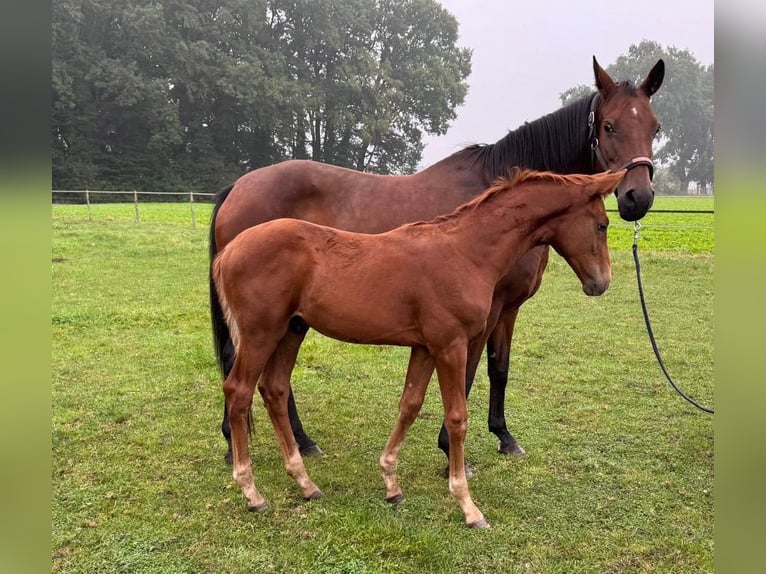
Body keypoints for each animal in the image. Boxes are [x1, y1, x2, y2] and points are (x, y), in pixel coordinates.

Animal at [210, 55, 664, 468]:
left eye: (655, 127)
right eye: (609, 125)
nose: (637, 197)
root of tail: (238, 185)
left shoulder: (508, 307)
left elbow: (499, 368)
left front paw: (504, 436)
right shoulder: (485, 310)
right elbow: (470, 372)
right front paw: (450, 448)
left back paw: (301, 443)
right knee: (243, 368)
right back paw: (237, 443)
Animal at [212, 169, 632, 528]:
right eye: (602, 225)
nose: (601, 283)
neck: (466, 251)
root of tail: (228, 251)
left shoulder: (425, 347)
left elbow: (409, 406)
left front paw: (392, 485)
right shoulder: (451, 345)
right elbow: (457, 417)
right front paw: (468, 505)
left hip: (291, 331)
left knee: (274, 390)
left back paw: (306, 484)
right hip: (260, 333)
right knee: (239, 392)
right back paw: (252, 491)